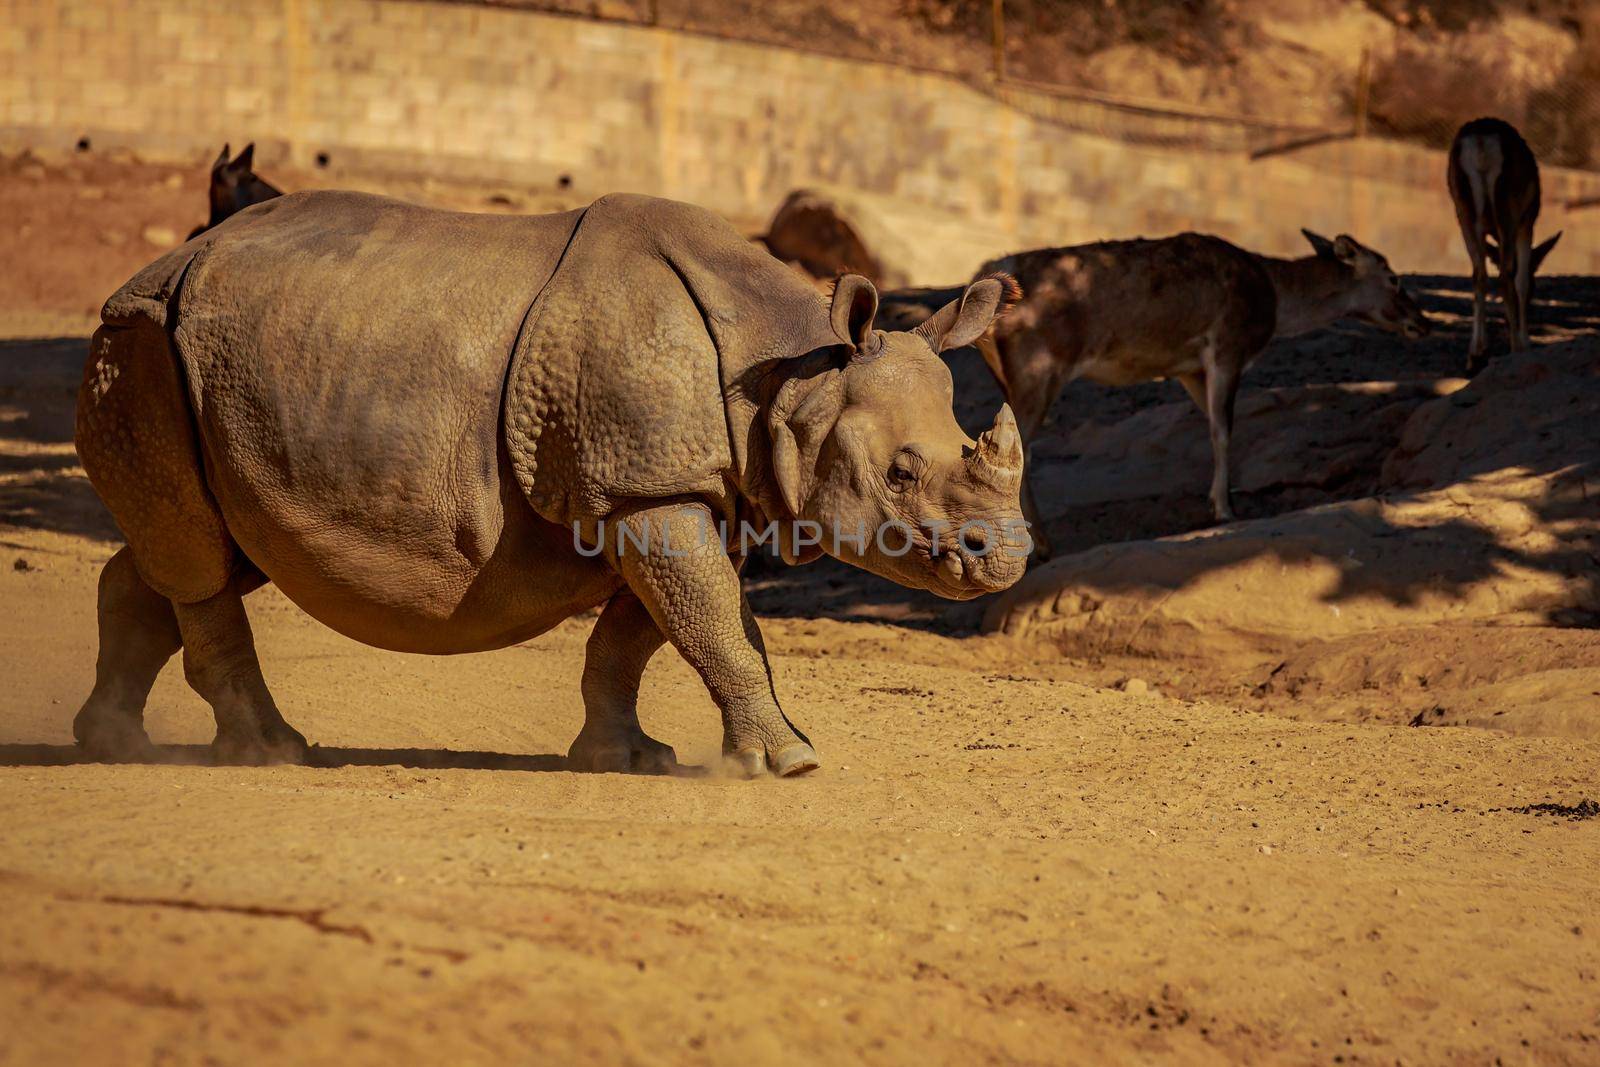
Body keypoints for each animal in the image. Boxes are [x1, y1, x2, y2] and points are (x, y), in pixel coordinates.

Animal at [883, 227, 1433, 559]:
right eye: (1393, 277)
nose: (1422, 322)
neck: (1273, 300)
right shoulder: (1227, 344)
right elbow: (1224, 430)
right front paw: (1224, 509)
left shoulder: (1188, 368)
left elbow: (1211, 426)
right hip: (1039, 365)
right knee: (1021, 447)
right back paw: (1042, 543)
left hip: (1009, 372)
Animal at [1452, 117, 1561, 374]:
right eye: (1535, 289)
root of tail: (1481, 142)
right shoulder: (1527, 222)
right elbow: (1520, 280)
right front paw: (1526, 343)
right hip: (1508, 208)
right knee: (1505, 276)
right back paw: (1515, 348)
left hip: (1462, 208)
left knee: (1478, 274)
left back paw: (1474, 356)